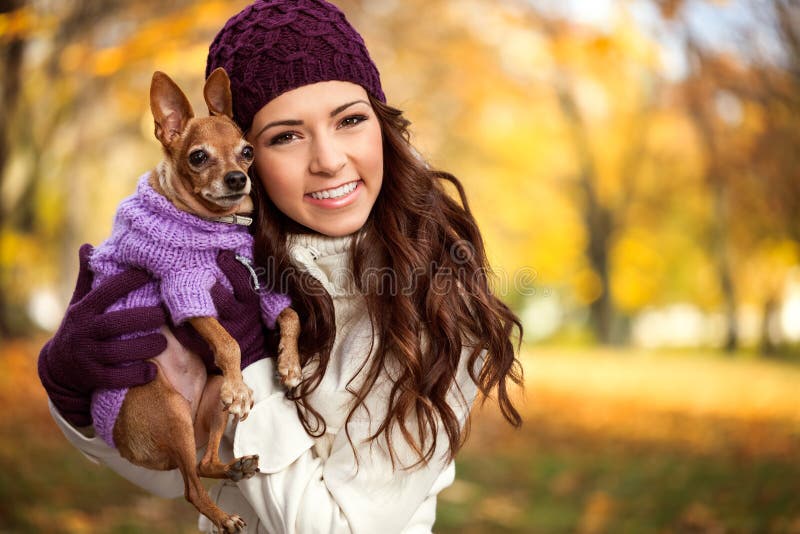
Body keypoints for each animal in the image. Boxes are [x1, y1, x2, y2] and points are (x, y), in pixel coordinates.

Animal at [108, 69, 302, 532]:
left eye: (247, 152)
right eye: (198, 157)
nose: (237, 178)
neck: (215, 227)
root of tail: (127, 448)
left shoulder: (262, 286)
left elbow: (290, 316)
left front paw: (289, 365)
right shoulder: (185, 289)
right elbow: (227, 341)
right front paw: (248, 375)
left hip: (211, 402)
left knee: (205, 463)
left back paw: (234, 466)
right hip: (170, 410)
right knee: (191, 487)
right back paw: (225, 517)